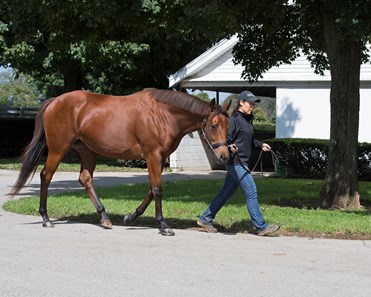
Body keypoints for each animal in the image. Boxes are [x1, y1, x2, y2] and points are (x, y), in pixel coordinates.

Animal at [9, 86, 230, 235]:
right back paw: (46, 218)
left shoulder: (158, 159)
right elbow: (157, 190)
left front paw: (131, 216)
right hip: (58, 149)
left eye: (227, 125)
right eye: (213, 126)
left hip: (87, 151)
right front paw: (163, 225)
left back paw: (105, 218)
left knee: (85, 179)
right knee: (46, 176)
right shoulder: (153, 155)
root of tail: (55, 101)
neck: (163, 114)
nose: (224, 155)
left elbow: (151, 190)